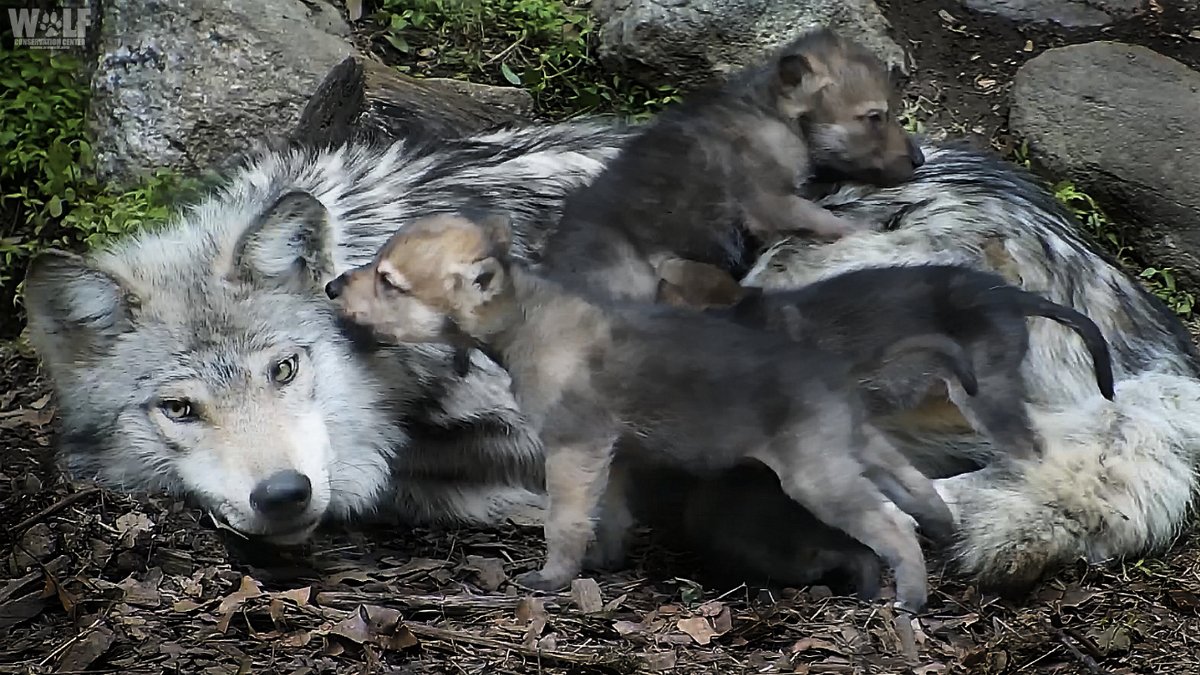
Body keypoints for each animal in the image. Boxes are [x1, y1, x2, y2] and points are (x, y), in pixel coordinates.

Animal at [323, 211, 952, 610]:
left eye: (389, 282)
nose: (330, 287)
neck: (531, 317)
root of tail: (831, 372)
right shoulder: (613, 455)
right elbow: (608, 515)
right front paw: (601, 563)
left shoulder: (573, 448)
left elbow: (564, 520)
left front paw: (553, 579)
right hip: (855, 449)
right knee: (918, 489)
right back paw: (941, 536)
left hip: (816, 477)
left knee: (894, 524)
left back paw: (911, 597)